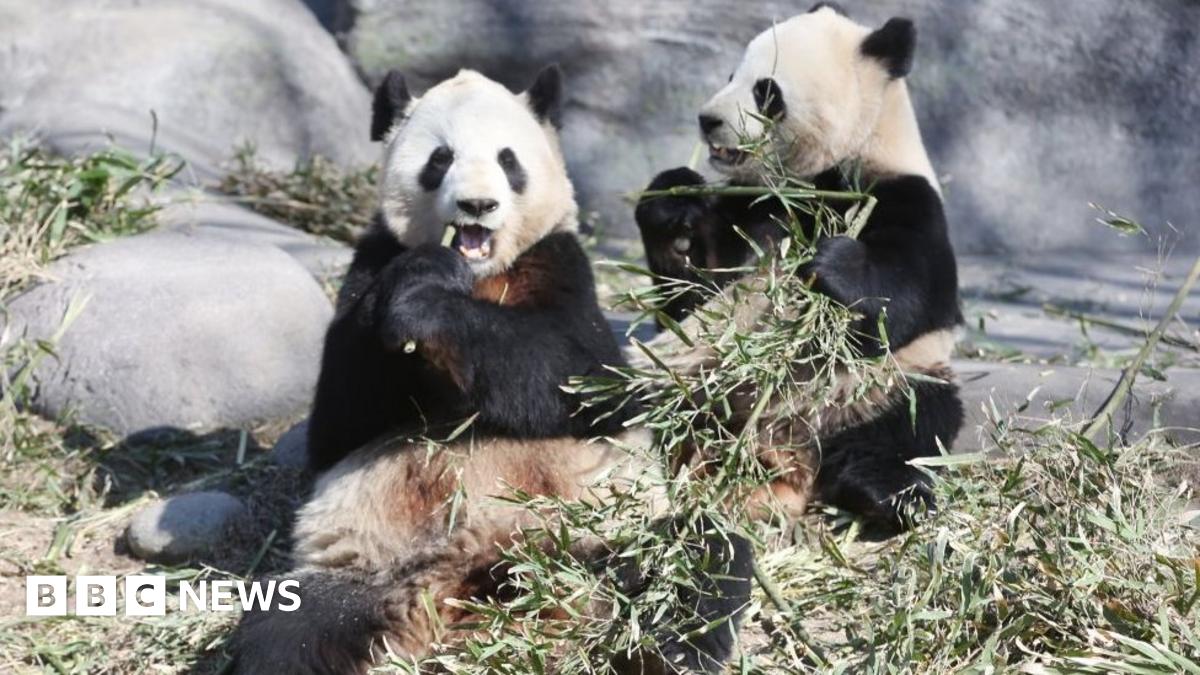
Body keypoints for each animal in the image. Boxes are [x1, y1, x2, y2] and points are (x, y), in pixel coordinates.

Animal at [230, 67, 752, 675]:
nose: (477, 205)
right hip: (364, 570)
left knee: (697, 563)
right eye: (440, 158)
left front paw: (428, 304)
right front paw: (421, 280)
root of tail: (477, 584)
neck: (479, 275)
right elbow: (341, 421)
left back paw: (663, 651)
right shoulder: (372, 264)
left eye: (509, 160)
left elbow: (583, 377)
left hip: (609, 532)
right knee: (287, 631)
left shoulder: (559, 264)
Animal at [633, 4, 964, 536]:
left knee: (912, 424)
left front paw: (834, 266)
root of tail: (785, 453)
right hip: (698, 388)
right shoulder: (754, 207)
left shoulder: (902, 195)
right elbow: (696, 296)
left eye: (765, 91)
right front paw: (675, 208)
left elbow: (913, 294)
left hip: (881, 388)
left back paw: (882, 494)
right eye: (731, 75)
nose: (708, 120)